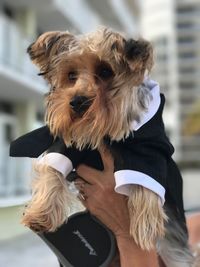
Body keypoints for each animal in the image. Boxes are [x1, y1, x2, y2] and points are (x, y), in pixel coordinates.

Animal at [9, 27, 197, 267]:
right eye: (71, 76)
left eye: (106, 71)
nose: (77, 101)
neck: (102, 132)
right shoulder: (70, 144)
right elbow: (52, 169)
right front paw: (41, 214)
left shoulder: (148, 147)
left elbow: (145, 181)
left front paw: (145, 227)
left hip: (174, 248)